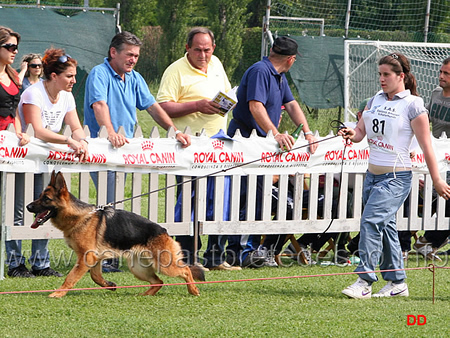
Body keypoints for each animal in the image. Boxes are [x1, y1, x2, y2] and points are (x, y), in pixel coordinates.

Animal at [25, 172, 205, 298]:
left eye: (46, 199)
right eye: (39, 196)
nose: (28, 207)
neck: (79, 216)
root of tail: (164, 231)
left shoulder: (86, 257)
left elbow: (70, 277)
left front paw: (58, 293)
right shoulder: (94, 259)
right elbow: (95, 276)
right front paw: (109, 284)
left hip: (165, 265)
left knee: (186, 270)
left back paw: (193, 289)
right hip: (138, 269)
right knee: (158, 282)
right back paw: (144, 295)